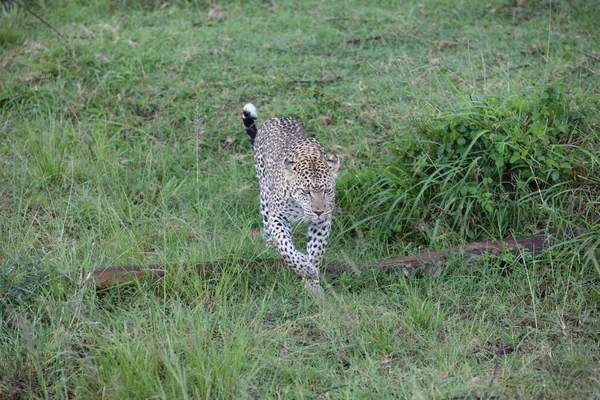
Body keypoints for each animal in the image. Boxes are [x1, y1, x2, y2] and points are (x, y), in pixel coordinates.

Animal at [241, 101, 340, 292]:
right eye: (306, 192)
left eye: (327, 191)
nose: (318, 211)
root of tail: (275, 117)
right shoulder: (277, 217)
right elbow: (285, 247)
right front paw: (305, 268)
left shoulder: (322, 222)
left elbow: (316, 250)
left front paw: (312, 283)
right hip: (264, 197)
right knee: (268, 230)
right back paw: (270, 250)